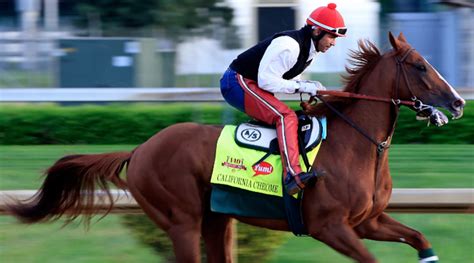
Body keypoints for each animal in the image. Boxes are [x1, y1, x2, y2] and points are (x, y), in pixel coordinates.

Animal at [8, 33, 466, 263]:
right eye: (420, 66)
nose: (459, 102)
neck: (356, 146)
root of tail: (139, 150)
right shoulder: (329, 227)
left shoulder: (367, 221)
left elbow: (420, 238)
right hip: (182, 220)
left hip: (215, 219)